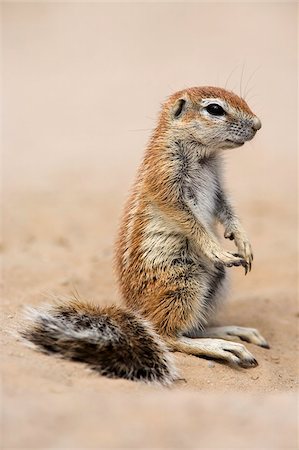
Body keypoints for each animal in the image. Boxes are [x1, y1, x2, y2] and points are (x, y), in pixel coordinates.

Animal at [21, 87, 270, 384]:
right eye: (215, 109)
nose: (257, 124)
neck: (204, 156)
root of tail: (137, 311)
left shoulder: (220, 186)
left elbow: (227, 210)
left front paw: (243, 242)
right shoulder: (165, 179)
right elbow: (189, 220)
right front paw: (215, 248)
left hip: (216, 282)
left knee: (189, 327)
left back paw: (233, 332)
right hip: (182, 282)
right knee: (168, 335)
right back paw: (223, 347)